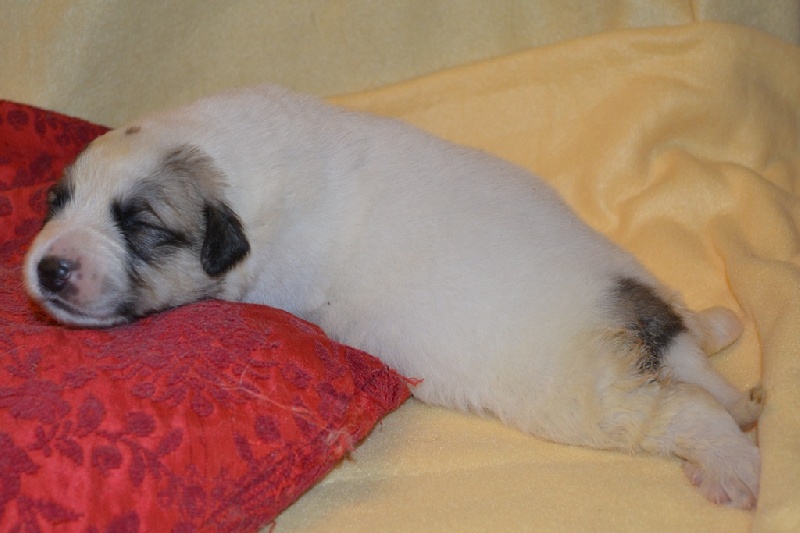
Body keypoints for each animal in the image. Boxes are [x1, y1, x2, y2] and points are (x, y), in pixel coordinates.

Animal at [24, 84, 763, 509]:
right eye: (57, 203)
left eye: (142, 226)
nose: (48, 268)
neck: (233, 171)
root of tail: (633, 306)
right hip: (641, 294)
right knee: (697, 345)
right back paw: (721, 329)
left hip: (586, 396)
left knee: (688, 409)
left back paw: (733, 465)